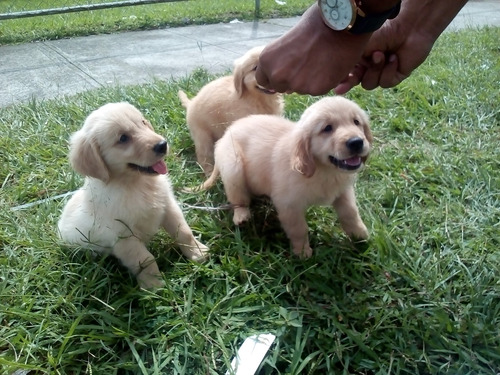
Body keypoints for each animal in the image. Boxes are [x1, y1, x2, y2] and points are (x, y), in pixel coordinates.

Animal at [57, 101, 208, 290]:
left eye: (143, 122)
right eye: (123, 138)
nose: (162, 144)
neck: (136, 184)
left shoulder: (168, 206)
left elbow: (184, 232)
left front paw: (197, 253)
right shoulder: (123, 236)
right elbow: (144, 259)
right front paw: (153, 285)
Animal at [178, 44, 284, 177]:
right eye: (255, 68)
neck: (257, 99)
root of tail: (191, 102)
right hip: (202, 136)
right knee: (203, 157)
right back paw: (209, 173)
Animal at [197, 97, 374, 258]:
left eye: (356, 122)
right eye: (327, 128)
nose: (356, 142)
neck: (324, 170)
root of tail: (226, 134)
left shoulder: (343, 190)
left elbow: (350, 213)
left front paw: (360, 235)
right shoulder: (289, 205)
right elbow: (299, 229)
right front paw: (302, 252)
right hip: (233, 166)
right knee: (238, 196)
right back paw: (241, 215)